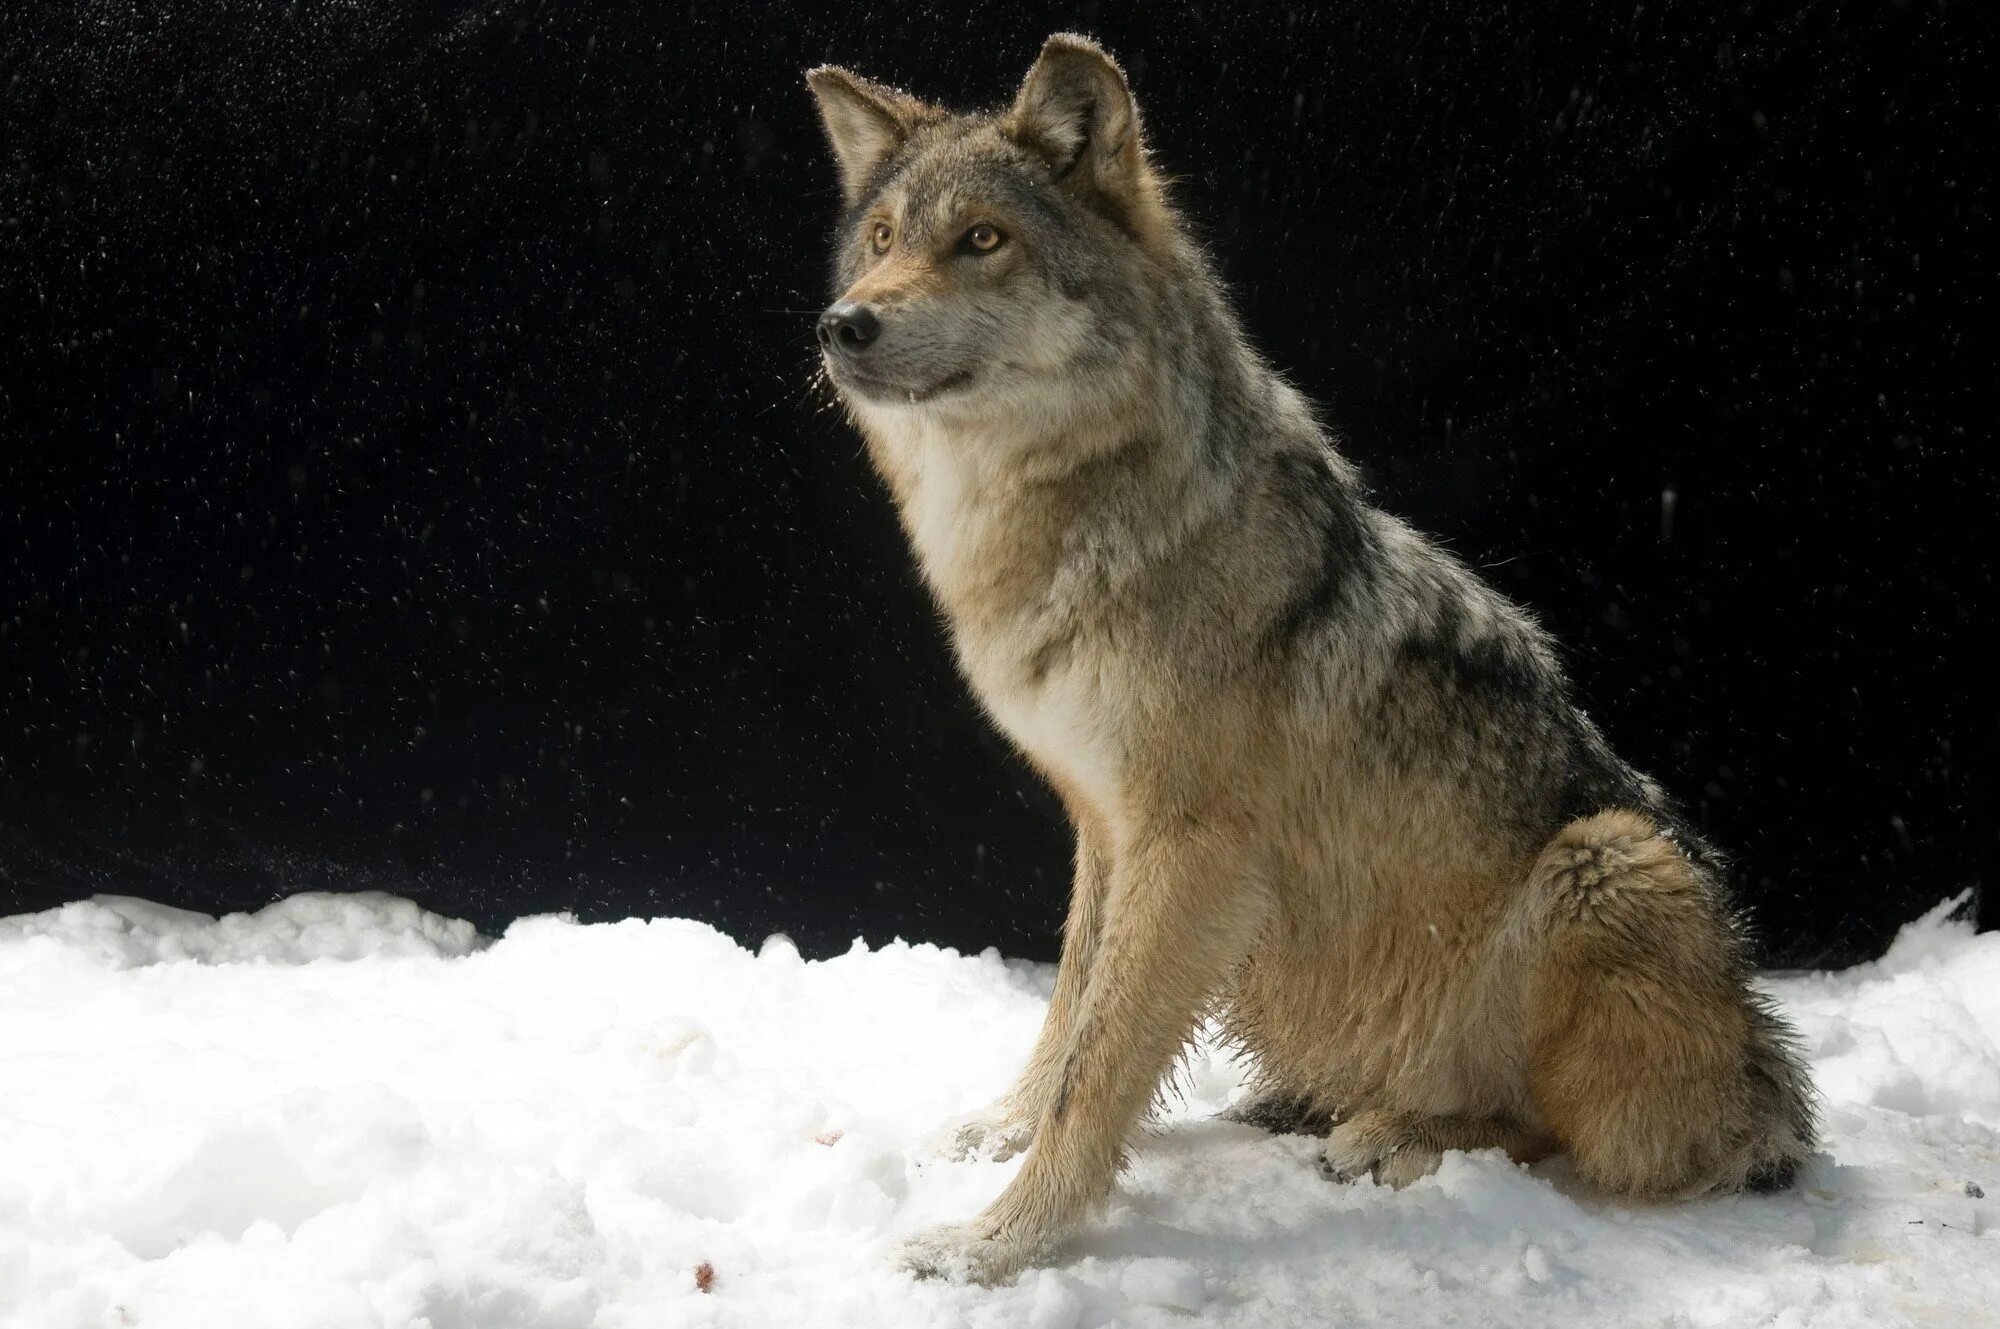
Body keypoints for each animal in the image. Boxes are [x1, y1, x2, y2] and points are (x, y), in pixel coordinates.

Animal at [804, 33, 1824, 1288]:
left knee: (1574, 1140)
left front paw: (999, 1243)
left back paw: (1392, 1135)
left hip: (1608, 860)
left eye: (982, 240)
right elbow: (1069, 1015)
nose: (844, 324)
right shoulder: (1104, 827)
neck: (1085, 524)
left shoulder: (1187, 849)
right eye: (882, 240)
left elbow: (1099, 1069)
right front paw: (999, 1131)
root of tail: (1766, 1089)